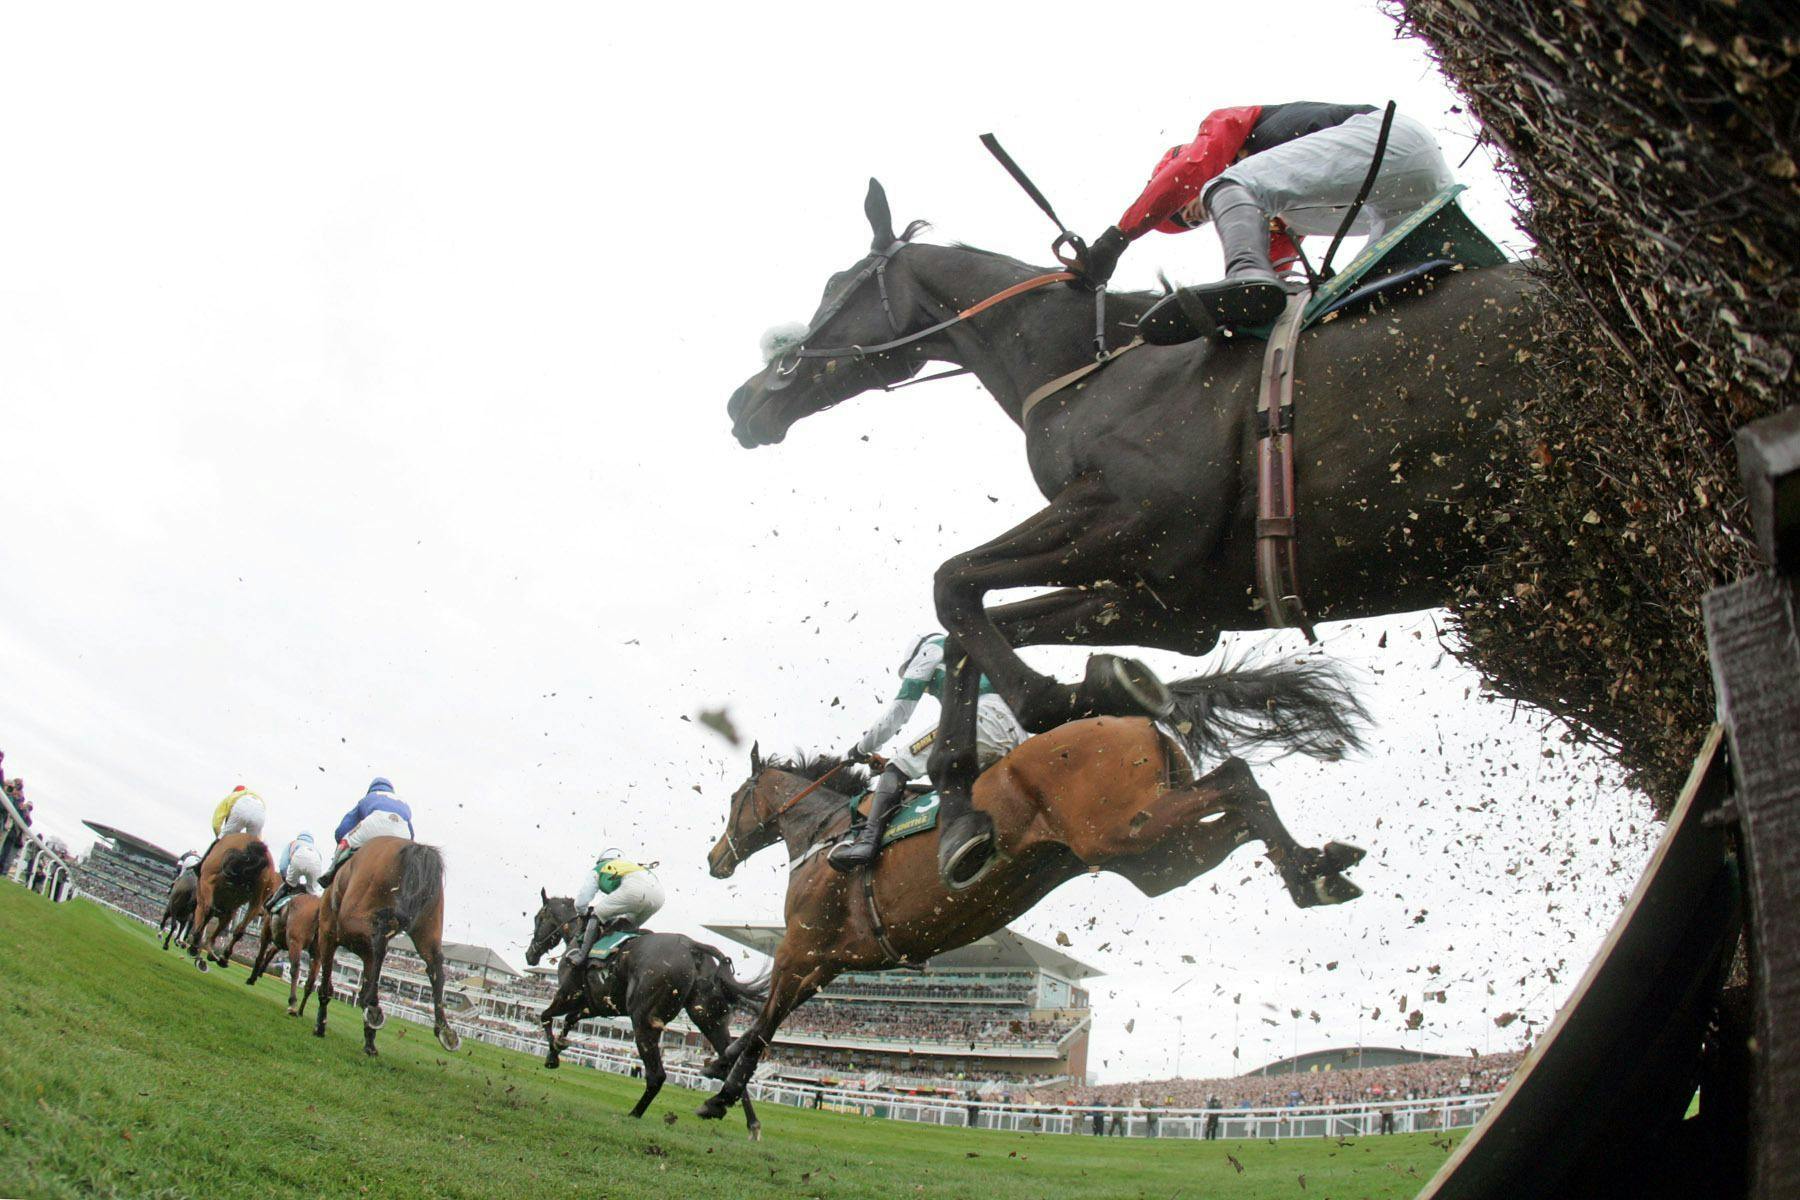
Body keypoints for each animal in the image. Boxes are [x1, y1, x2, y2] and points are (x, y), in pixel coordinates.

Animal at [189, 841, 277, 971]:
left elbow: (205, 915)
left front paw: (197, 944)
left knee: (210, 913)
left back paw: (199, 947)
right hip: (254, 900)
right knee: (238, 928)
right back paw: (221, 955)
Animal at [313, 841, 460, 1057]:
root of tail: (414, 847)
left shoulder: (328, 936)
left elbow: (326, 987)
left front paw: (320, 1026)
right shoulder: (366, 955)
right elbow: (368, 978)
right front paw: (369, 1042)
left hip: (350, 920)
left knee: (380, 934)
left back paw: (374, 1009)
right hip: (429, 926)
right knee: (435, 963)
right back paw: (444, 1029)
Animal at [525, 895, 770, 1144]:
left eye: (538, 918)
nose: (530, 954)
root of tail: (691, 946)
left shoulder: (566, 997)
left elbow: (545, 1016)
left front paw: (552, 1056)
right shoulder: (595, 1005)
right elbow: (568, 1020)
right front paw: (558, 1047)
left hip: (643, 1020)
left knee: (657, 1075)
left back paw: (634, 1114)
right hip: (709, 1020)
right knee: (732, 1066)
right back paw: (744, 1120)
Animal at [694, 662, 1368, 1122]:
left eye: (734, 799)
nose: (714, 857)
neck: (826, 834)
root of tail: (1133, 716)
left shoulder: (800, 949)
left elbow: (766, 1020)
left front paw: (723, 1093)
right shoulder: (828, 963)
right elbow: (770, 1019)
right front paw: (719, 1066)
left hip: (1126, 830)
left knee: (1239, 777)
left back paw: (1312, 873)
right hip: (1155, 859)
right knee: (1241, 803)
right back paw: (1317, 870)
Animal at [723, 180, 1540, 892]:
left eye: (838, 288)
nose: (743, 403)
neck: (1087, 368)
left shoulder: (1137, 517)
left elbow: (951, 583)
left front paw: (1062, 696)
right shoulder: (1174, 601)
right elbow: (965, 631)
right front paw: (961, 816)